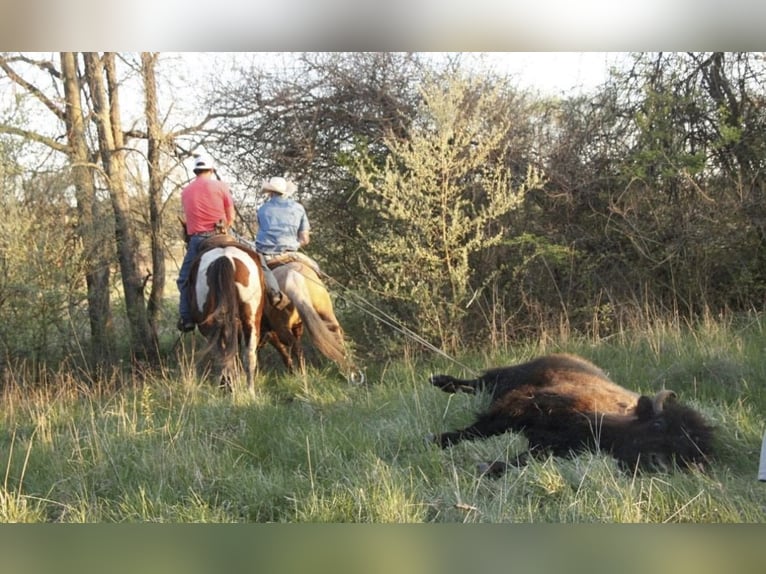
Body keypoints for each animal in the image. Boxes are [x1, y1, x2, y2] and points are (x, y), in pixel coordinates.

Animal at [188, 236, 266, 395]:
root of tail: (224, 259)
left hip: (210, 326)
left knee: (221, 355)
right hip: (250, 320)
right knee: (247, 354)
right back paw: (249, 391)